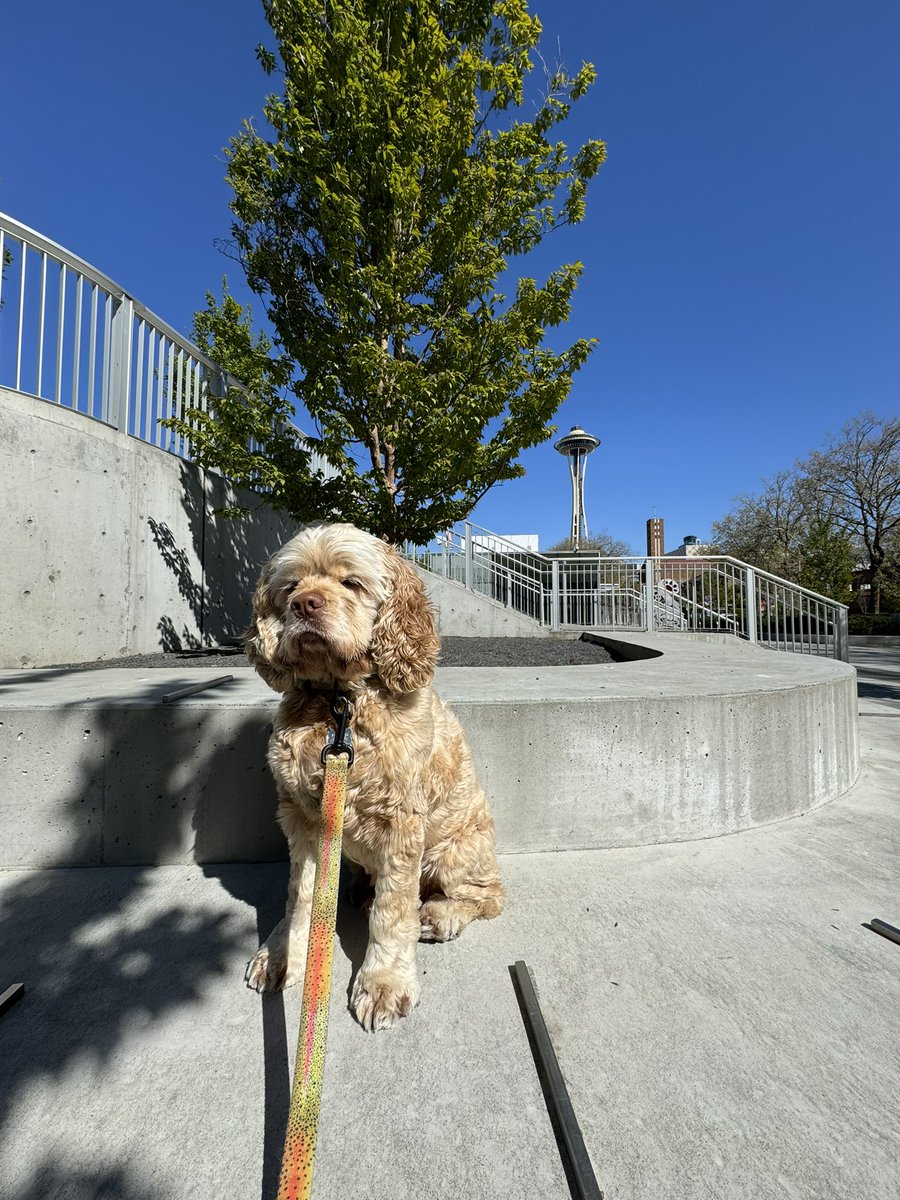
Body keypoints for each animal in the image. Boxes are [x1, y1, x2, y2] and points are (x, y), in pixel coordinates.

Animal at [243, 525, 504, 1032]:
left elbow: (394, 910)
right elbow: (299, 892)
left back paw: (438, 916)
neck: (339, 704)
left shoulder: (401, 822)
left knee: (488, 897)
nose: (305, 604)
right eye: (290, 586)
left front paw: (383, 982)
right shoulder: (301, 816)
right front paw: (283, 953)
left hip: (455, 853)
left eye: (351, 582)